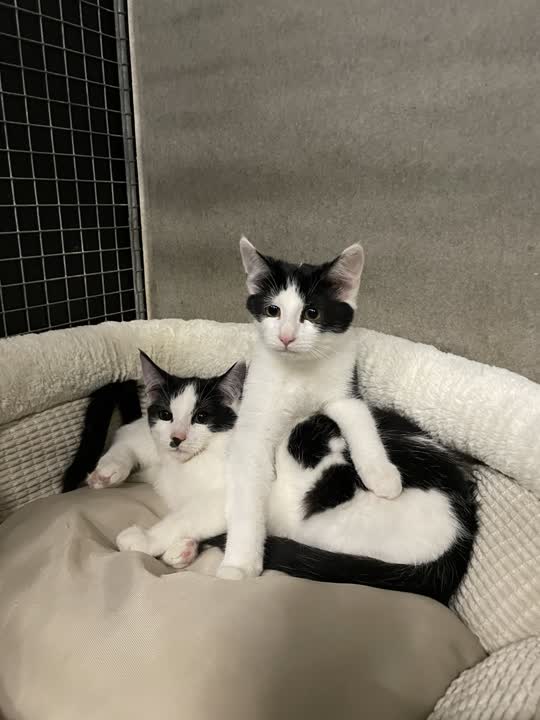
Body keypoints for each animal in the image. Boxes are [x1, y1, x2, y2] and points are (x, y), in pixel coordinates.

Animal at [104, 351, 477, 605]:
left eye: (201, 417)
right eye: (166, 414)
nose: (176, 439)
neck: (185, 467)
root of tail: (464, 531)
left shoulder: (228, 492)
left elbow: (185, 517)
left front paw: (146, 540)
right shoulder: (152, 446)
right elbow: (126, 438)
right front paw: (108, 471)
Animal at [218, 239, 402, 580]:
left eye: (312, 313)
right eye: (272, 310)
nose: (286, 337)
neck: (299, 370)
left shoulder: (345, 387)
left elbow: (360, 418)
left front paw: (381, 474)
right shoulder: (256, 410)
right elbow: (248, 478)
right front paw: (239, 563)